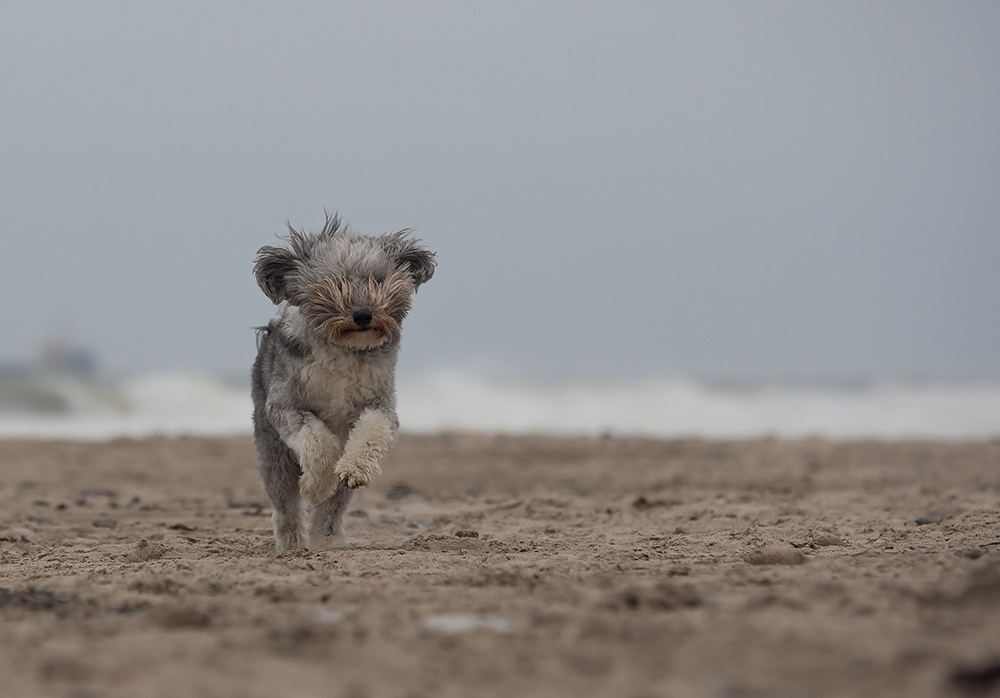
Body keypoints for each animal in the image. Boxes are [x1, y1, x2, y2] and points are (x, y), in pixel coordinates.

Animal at [250, 212, 434, 548]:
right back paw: (292, 543)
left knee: (334, 506)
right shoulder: (286, 407)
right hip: (273, 452)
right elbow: (318, 445)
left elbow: (372, 433)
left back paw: (328, 539)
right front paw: (314, 487)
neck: (344, 348)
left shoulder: (379, 404)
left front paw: (355, 469)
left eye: (378, 280)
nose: (363, 315)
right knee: (285, 504)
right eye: (334, 282)